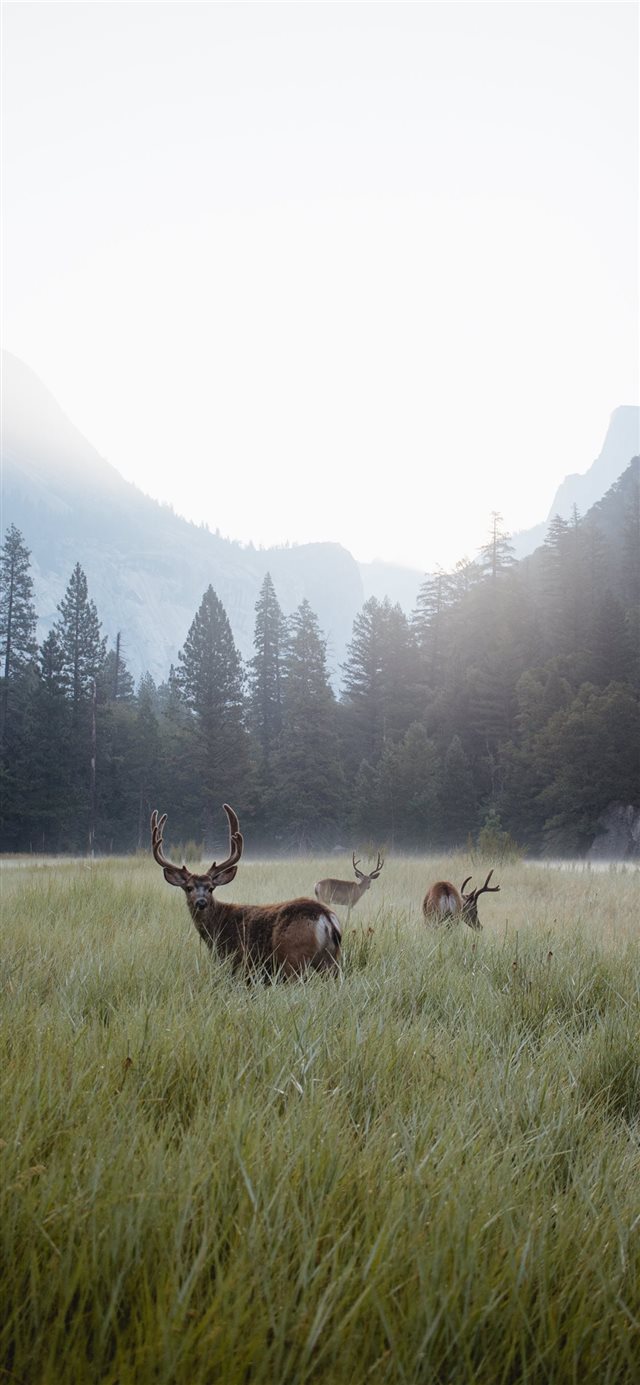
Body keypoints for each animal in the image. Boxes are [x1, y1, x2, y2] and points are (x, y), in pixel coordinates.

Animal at [151, 805, 342, 979]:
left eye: (211, 888)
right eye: (189, 887)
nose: (201, 902)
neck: (216, 929)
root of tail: (326, 918)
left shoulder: (237, 961)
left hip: (293, 957)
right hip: (330, 961)